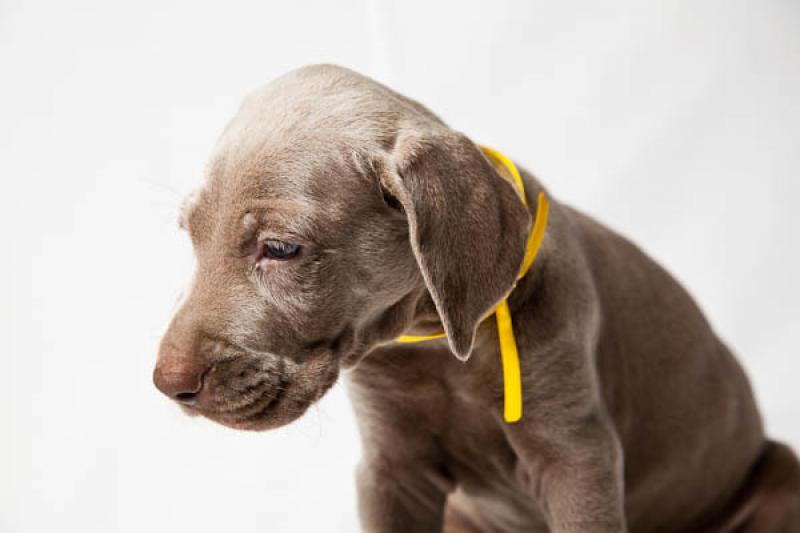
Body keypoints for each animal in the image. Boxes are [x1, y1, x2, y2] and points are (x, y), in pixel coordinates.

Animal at [152, 64, 800, 528]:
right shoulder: (391, 471)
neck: (435, 342)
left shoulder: (577, 460)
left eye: (282, 248)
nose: (167, 384)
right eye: (190, 235)